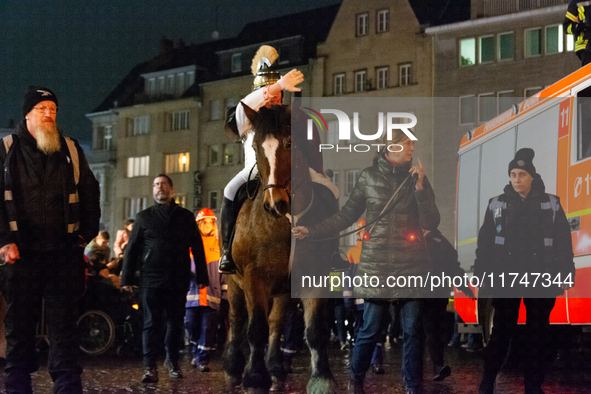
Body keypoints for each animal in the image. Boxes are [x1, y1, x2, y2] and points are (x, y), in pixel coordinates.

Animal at [223, 103, 338, 392]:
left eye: (289, 143)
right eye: (255, 147)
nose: (275, 203)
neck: (285, 224)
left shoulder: (313, 276)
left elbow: (315, 331)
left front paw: (322, 378)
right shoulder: (254, 277)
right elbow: (256, 329)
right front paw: (254, 377)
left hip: (283, 289)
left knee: (276, 323)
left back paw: (275, 367)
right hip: (234, 283)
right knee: (238, 319)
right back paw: (233, 366)